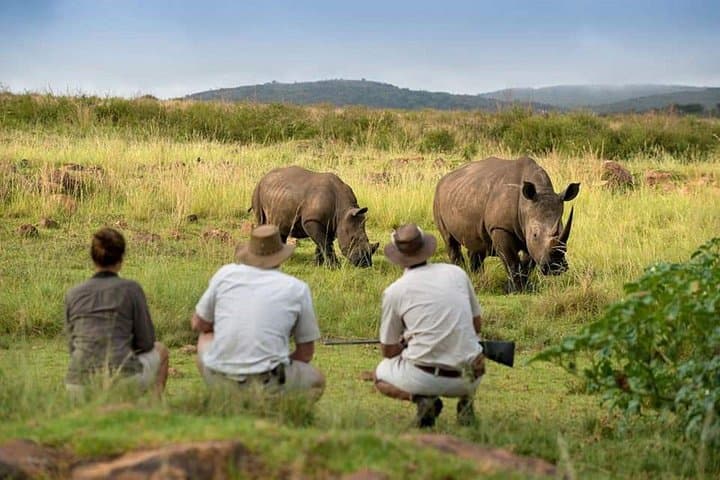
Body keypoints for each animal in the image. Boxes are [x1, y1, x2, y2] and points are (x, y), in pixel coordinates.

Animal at [433, 157, 579, 292]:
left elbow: (527, 263)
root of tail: (444, 178)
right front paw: (516, 290)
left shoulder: (527, 233)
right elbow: (511, 261)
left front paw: (522, 288)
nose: (555, 267)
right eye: (535, 235)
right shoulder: (500, 228)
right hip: (438, 198)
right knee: (450, 241)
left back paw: (476, 278)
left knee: (477, 244)